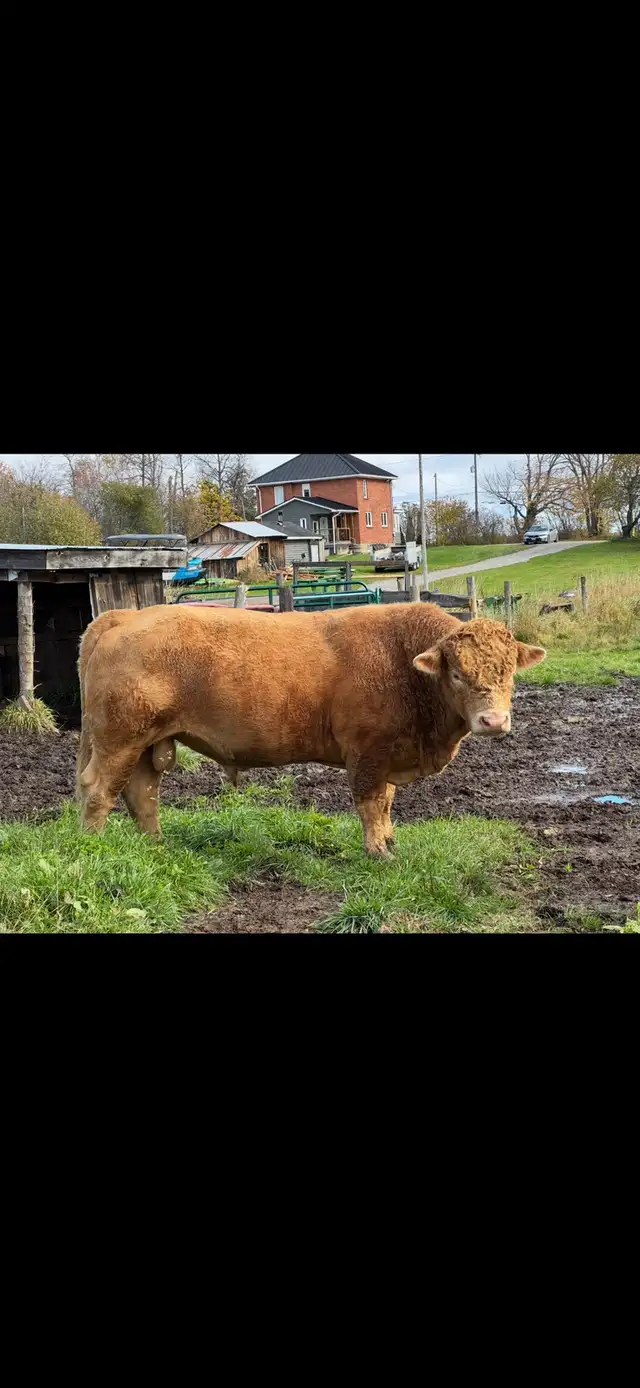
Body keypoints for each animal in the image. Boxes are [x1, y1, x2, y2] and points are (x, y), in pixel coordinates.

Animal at [76, 603, 545, 857]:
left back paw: (157, 845)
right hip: (119, 740)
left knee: (142, 794)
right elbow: (371, 803)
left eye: (509, 673)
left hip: (146, 742)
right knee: (99, 791)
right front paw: (378, 851)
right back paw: (92, 846)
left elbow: (387, 804)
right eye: (458, 675)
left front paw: (390, 842)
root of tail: (125, 616)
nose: (493, 721)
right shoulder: (367, 753)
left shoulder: (389, 755)